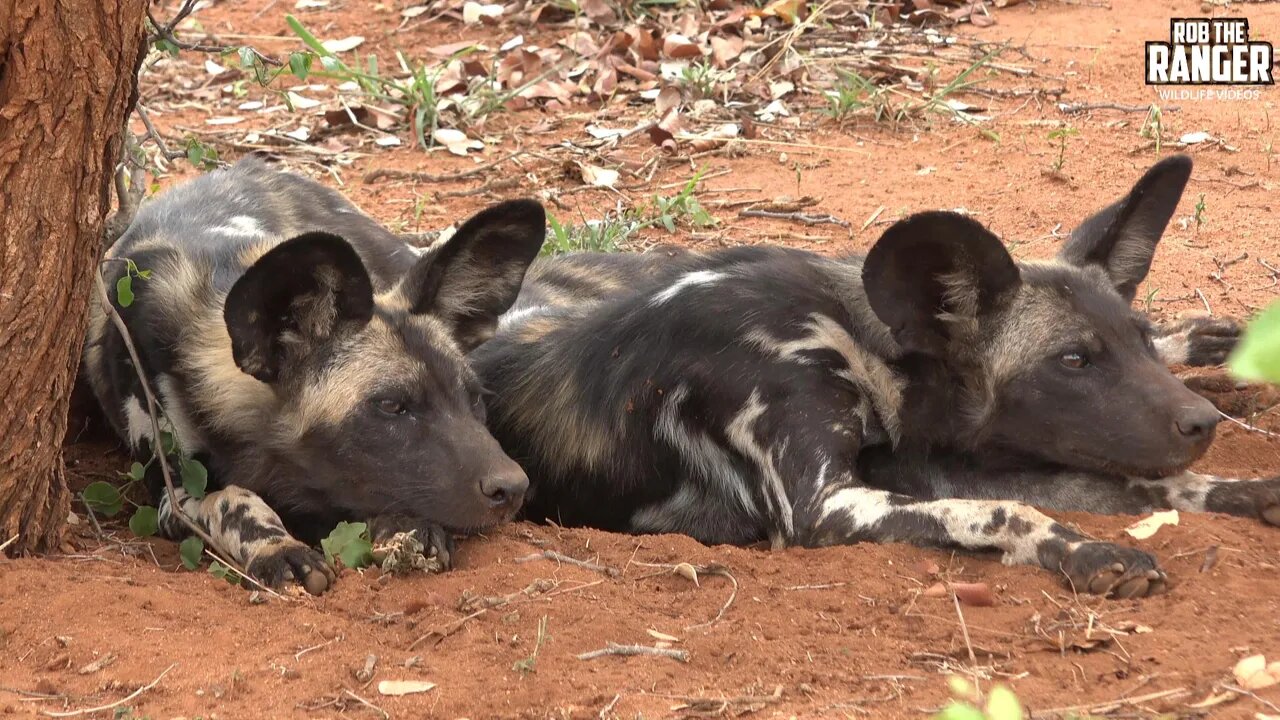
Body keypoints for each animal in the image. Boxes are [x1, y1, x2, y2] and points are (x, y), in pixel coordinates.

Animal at [83, 155, 545, 589]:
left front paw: (403, 525)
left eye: (475, 400)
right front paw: (277, 547)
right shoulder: (174, 496)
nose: (515, 488)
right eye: (392, 406)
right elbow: (232, 498)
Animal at [478, 154, 1280, 597]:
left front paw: (1251, 490)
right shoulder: (825, 507)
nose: (1202, 423)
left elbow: (1158, 484)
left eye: (1133, 346)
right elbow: (1008, 513)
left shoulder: (951, 465)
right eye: (1075, 361)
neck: (861, 352)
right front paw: (1091, 552)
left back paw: (1218, 343)